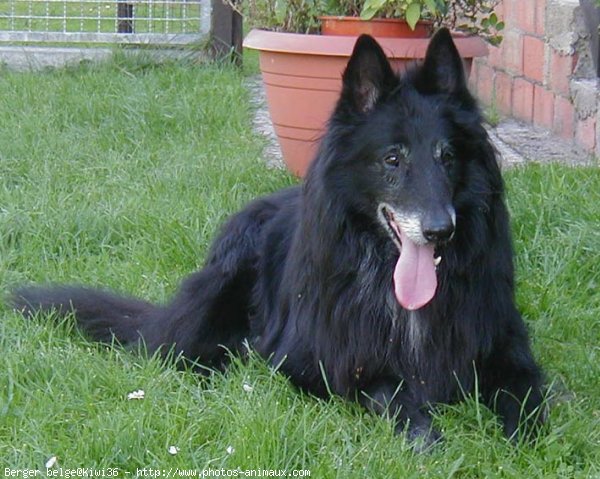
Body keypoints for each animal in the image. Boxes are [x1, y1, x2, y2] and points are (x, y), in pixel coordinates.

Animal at [12, 29, 548, 450]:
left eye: (447, 157)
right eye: (392, 159)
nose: (441, 229)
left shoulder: (506, 348)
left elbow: (527, 395)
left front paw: (526, 440)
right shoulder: (316, 362)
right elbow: (387, 390)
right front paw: (425, 434)